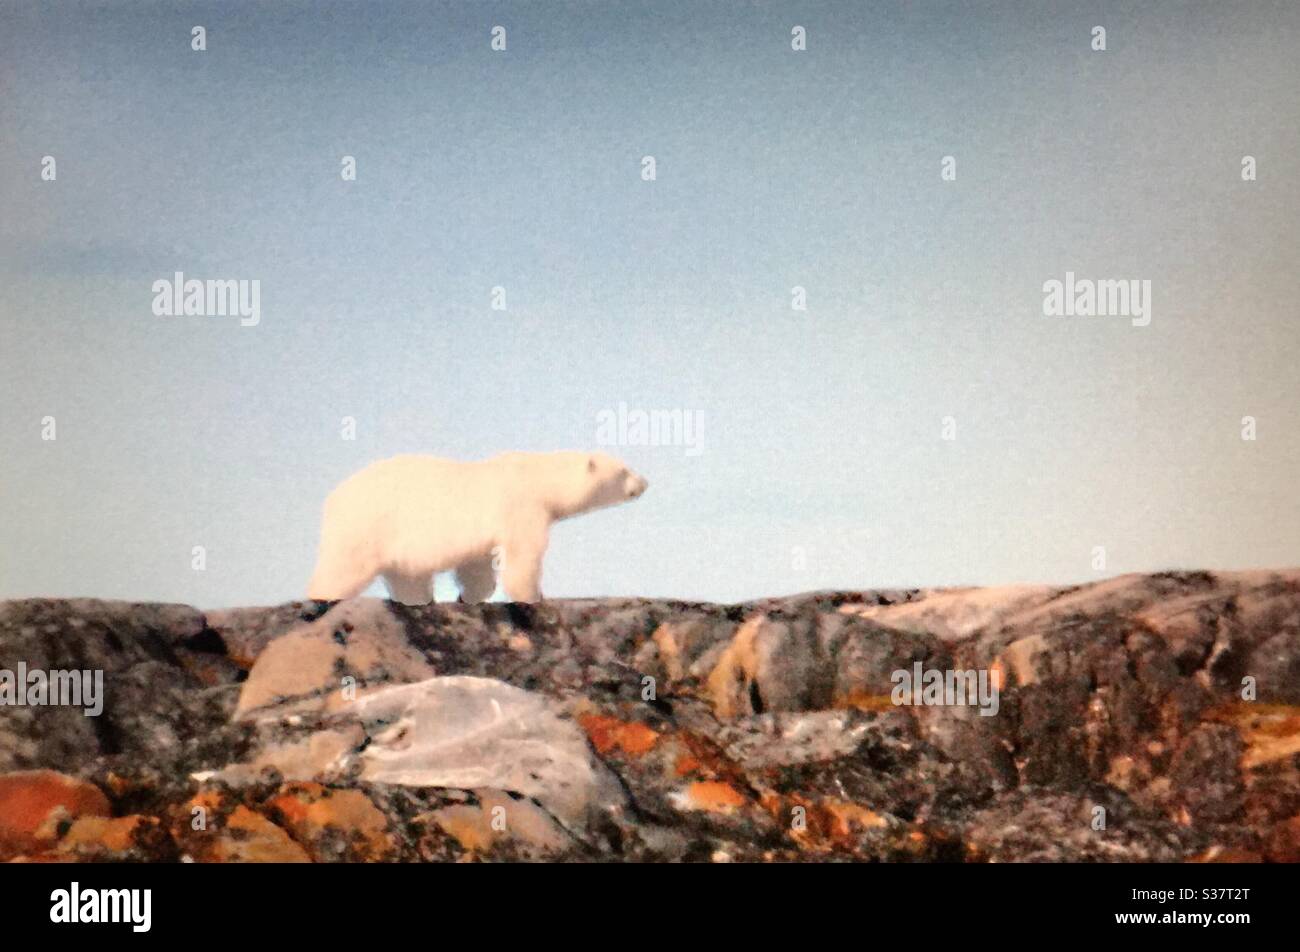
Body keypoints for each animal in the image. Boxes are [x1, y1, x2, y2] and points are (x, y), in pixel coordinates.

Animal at [307, 451, 648, 605]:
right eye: (624, 470)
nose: (644, 483)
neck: (536, 477)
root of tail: (332, 499)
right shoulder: (521, 508)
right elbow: (523, 555)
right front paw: (533, 596)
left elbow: (477, 566)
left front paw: (469, 597)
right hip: (369, 526)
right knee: (344, 567)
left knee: (407, 577)